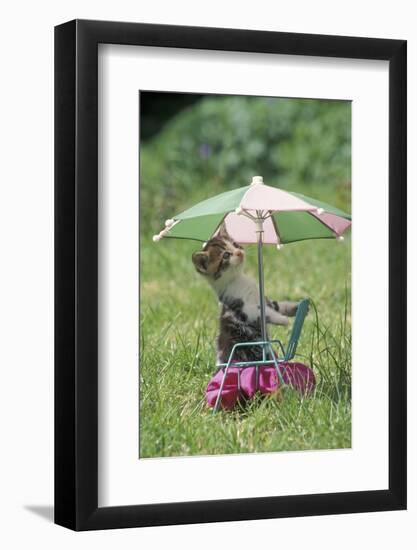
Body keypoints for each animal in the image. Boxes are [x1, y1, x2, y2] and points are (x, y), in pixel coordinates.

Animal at [192, 224, 300, 366]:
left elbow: (276, 305)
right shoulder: (246, 309)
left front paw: (295, 307)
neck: (238, 279)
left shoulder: (262, 299)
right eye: (226, 255)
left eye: (235, 244)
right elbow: (265, 313)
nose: (239, 252)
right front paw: (283, 320)